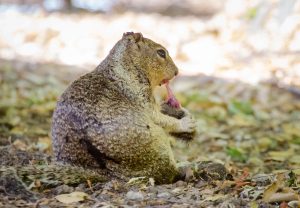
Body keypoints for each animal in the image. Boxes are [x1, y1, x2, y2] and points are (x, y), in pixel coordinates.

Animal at [51, 32, 197, 184]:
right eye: (161, 52)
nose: (177, 72)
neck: (126, 65)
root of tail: (108, 174)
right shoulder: (141, 96)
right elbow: (159, 118)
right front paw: (186, 123)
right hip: (157, 145)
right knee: (167, 174)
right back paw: (185, 168)